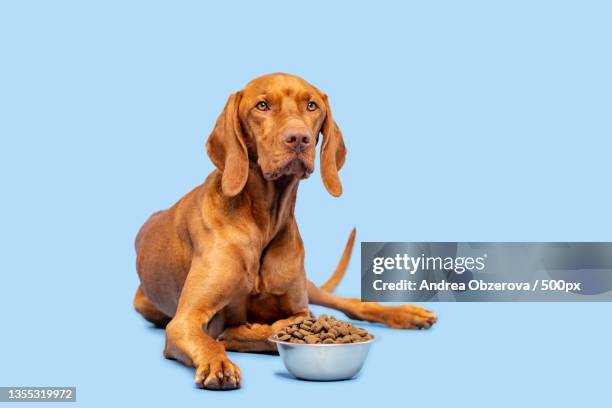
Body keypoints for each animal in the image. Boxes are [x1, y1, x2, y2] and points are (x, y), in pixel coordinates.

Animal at [135, 72, 436, 388]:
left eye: (312, 105)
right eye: (262, 105)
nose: (299, 138)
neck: (263, 221)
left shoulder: (298, 305)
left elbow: (291, 321)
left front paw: (243, 332)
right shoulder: (185, 320)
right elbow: (214, 338)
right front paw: (220, 360)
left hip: (309, 286)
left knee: (349, 302)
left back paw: (407, 313)